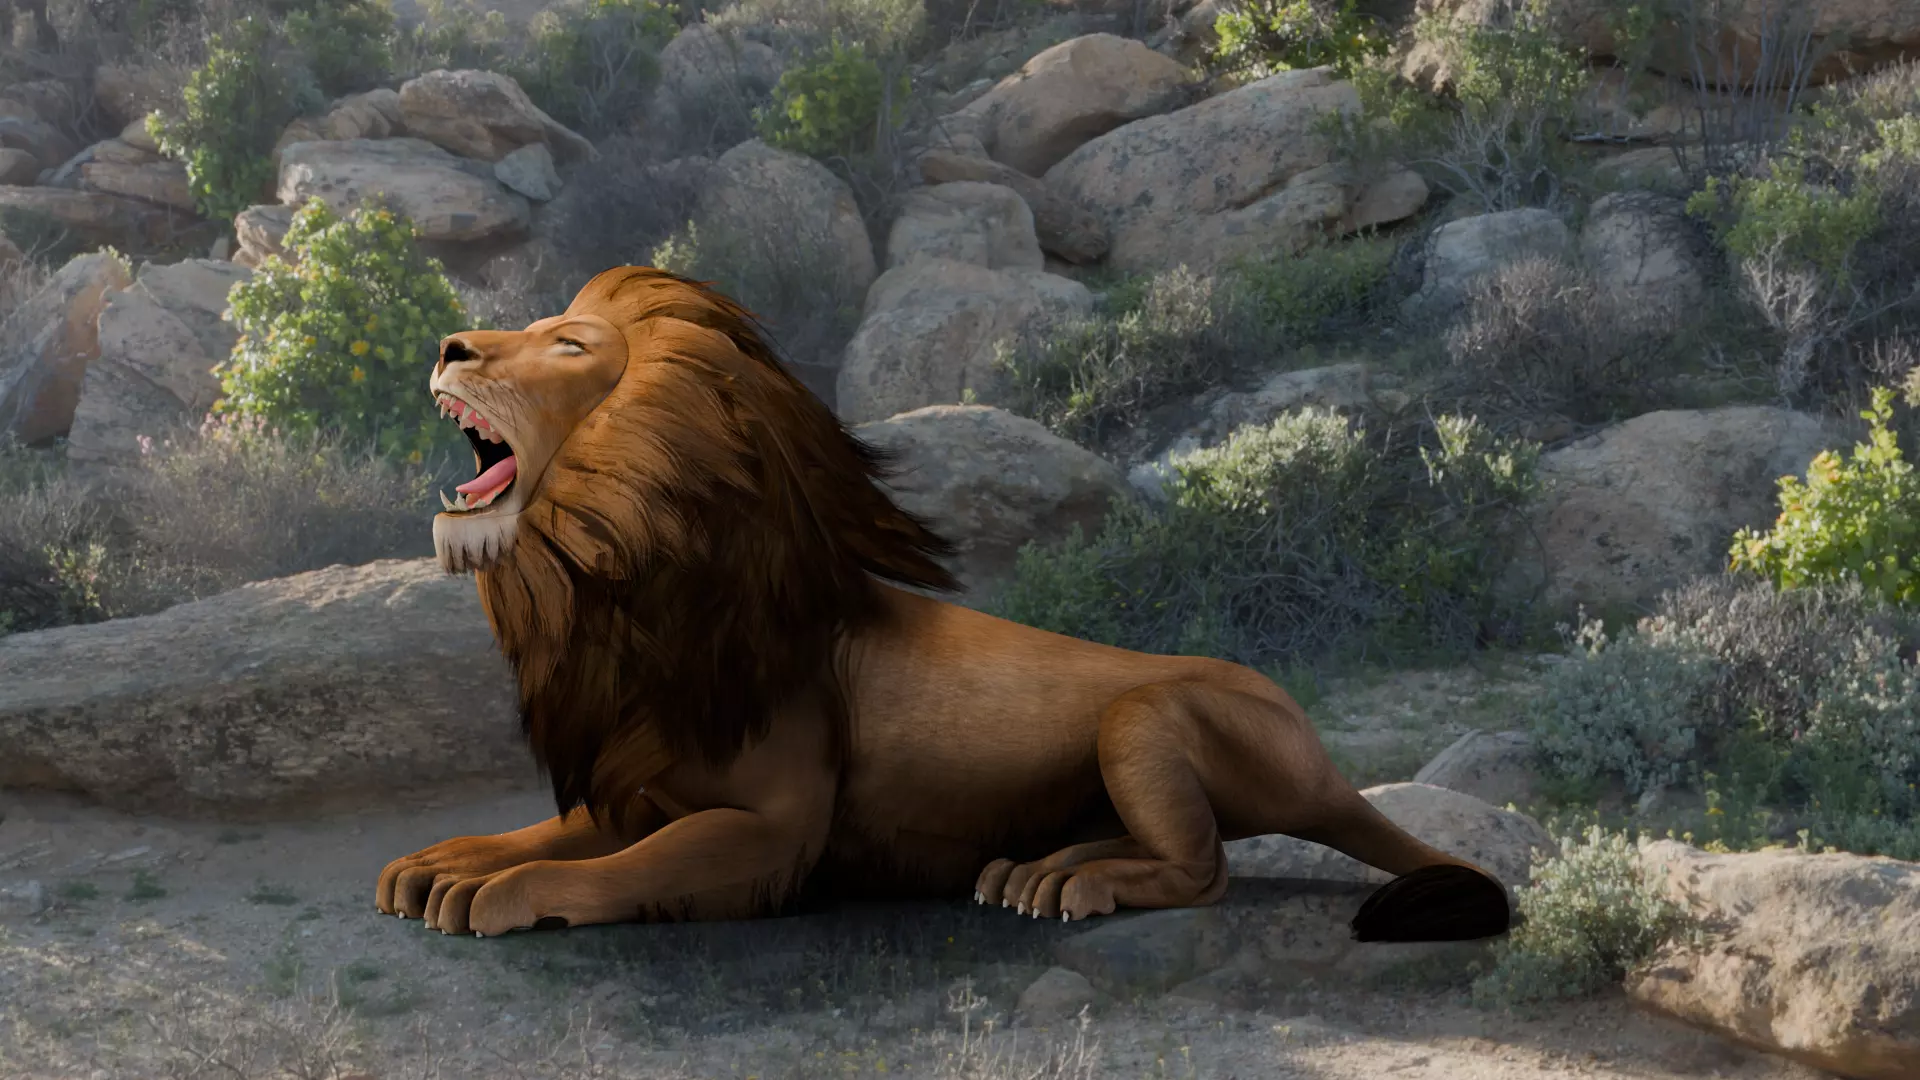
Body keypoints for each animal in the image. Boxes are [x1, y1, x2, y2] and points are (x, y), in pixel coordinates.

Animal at [376, 266, 1514, 943]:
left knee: (1205, 868)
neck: (616, 580)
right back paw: (1038, 869)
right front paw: (438, 864)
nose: (448, 346)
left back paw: (1076, 886)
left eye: (568, 346)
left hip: (1149, 715)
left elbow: (617, 869)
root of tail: (1322, 756)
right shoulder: (634, 784)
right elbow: (548, 831)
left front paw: (497, 894)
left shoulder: (775, 828)